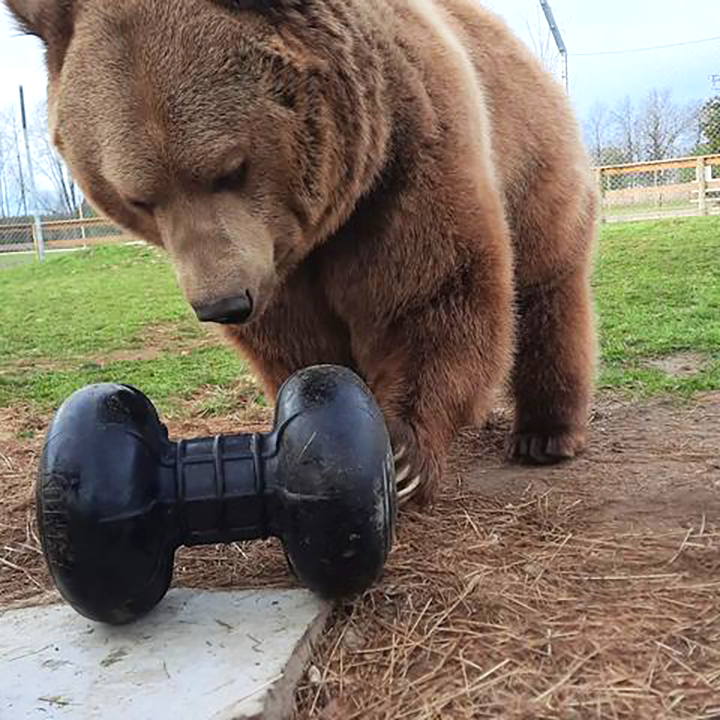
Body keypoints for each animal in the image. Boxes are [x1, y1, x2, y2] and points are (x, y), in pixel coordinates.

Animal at [7, 0, 596, 506]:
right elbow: (299, 342)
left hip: (534, 160)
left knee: (547, 293)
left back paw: (545, 435)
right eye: (138, 198)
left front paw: (403, 453)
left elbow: (432, 291)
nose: (224, 304)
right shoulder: (278, 264)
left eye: (230, 168)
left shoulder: (408, 154)